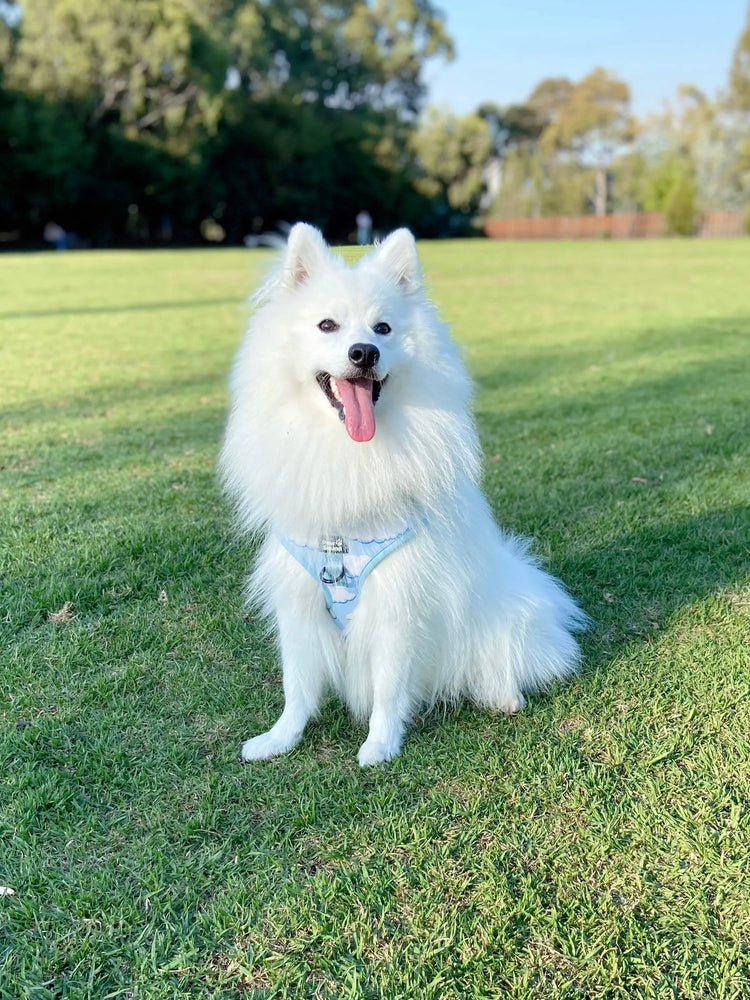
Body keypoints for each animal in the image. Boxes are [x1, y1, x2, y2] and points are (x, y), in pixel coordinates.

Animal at [220, 223, 584, 764]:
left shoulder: (399, 600)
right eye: (327, 325)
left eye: (383, 329)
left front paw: (379, 746)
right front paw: (280, 739)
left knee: (502, 657)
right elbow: (297, 684)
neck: (349, 455)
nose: (363, 353)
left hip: (503, 611)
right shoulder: (300, 595)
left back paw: (504, 695)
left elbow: (389, 686)